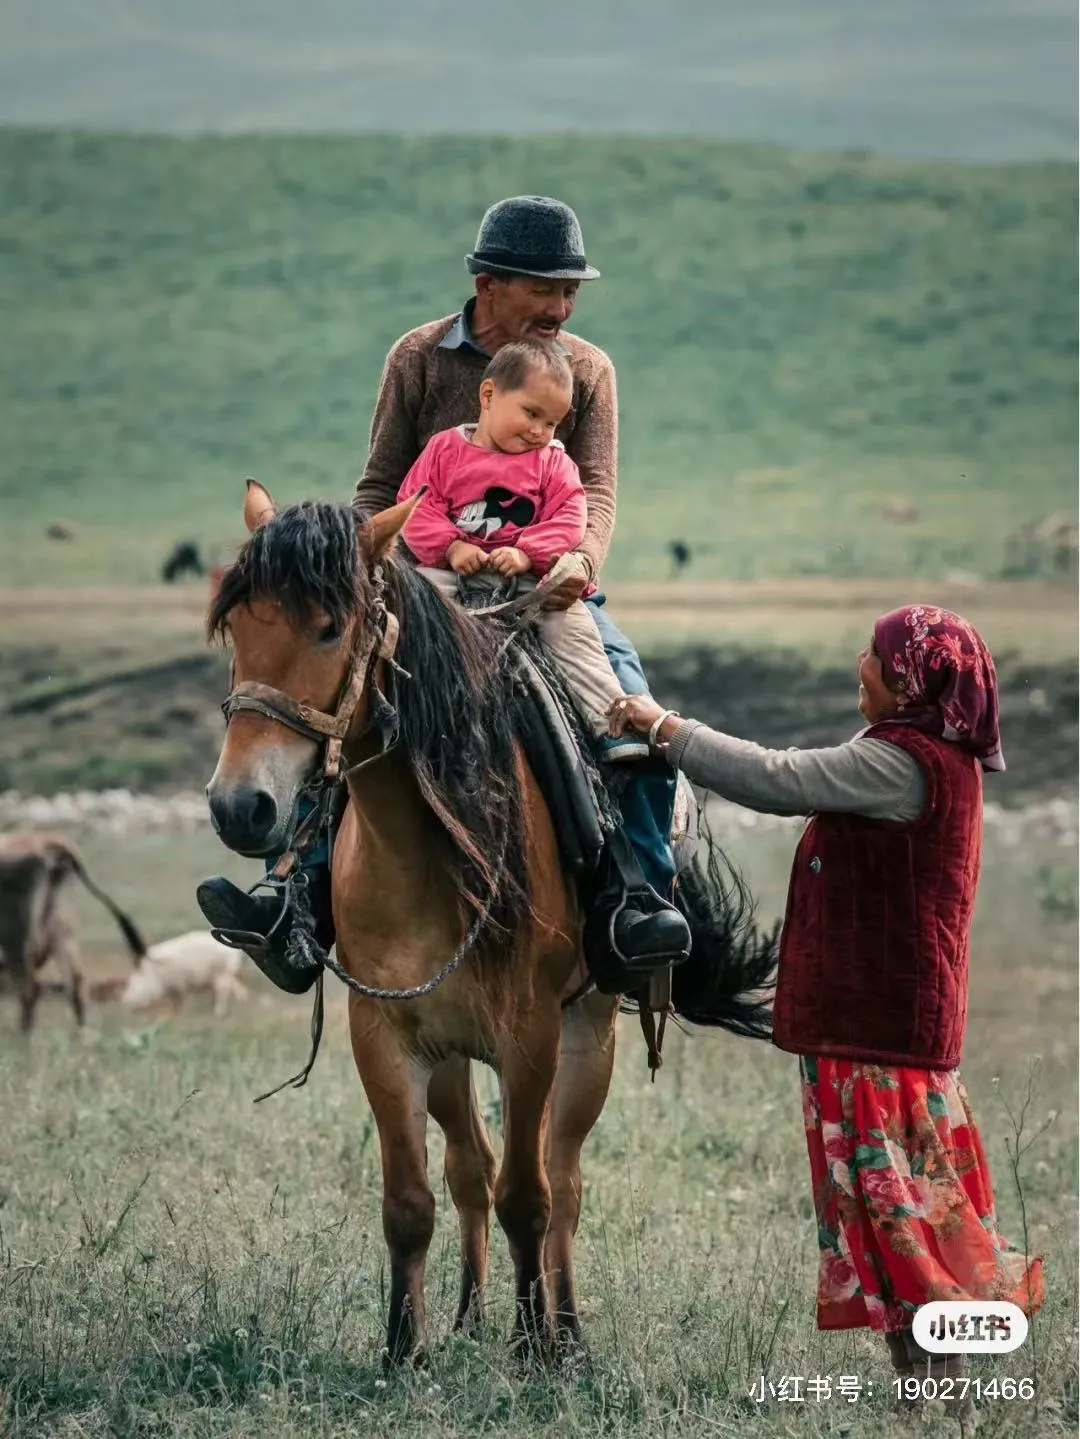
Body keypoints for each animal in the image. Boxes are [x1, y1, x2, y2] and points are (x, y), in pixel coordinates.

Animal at [89, 926, 248, 1018]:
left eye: (133, 988)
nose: (127, 1005)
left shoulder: (177, 983)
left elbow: (178, 1001)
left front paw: (176, 1015)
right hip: (224, 974)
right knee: (230, 987)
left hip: (221, 972)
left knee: (222, 991)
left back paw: (218, 1012)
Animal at [204, 480, 776, 1358]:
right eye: (238, 626)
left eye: (330, 625)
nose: (241, 806)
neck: (425, 851)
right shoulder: (385, 1034)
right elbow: (412, 1200)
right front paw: (402, 1351)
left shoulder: (529, 1034)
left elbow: (529, 1196)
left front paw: (536, 1345)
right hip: (449, 1054)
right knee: (469, 1168)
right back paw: (470, 1318)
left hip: (589, 1034)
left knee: (560, 1180)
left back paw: (564, 1332)